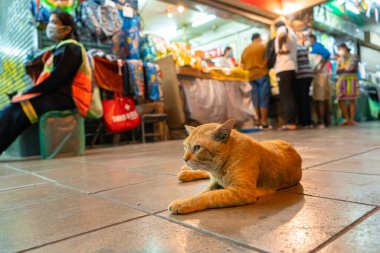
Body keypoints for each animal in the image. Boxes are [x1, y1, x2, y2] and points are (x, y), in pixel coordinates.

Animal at [169, 119, 302, 214]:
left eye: (197, 148)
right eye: (185, 146)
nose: (184, 159)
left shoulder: (242, 191)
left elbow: (208, 195)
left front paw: (182, 203)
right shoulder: (214, 183)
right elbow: (203, 192)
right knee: (205, 173)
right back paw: (185, 171)